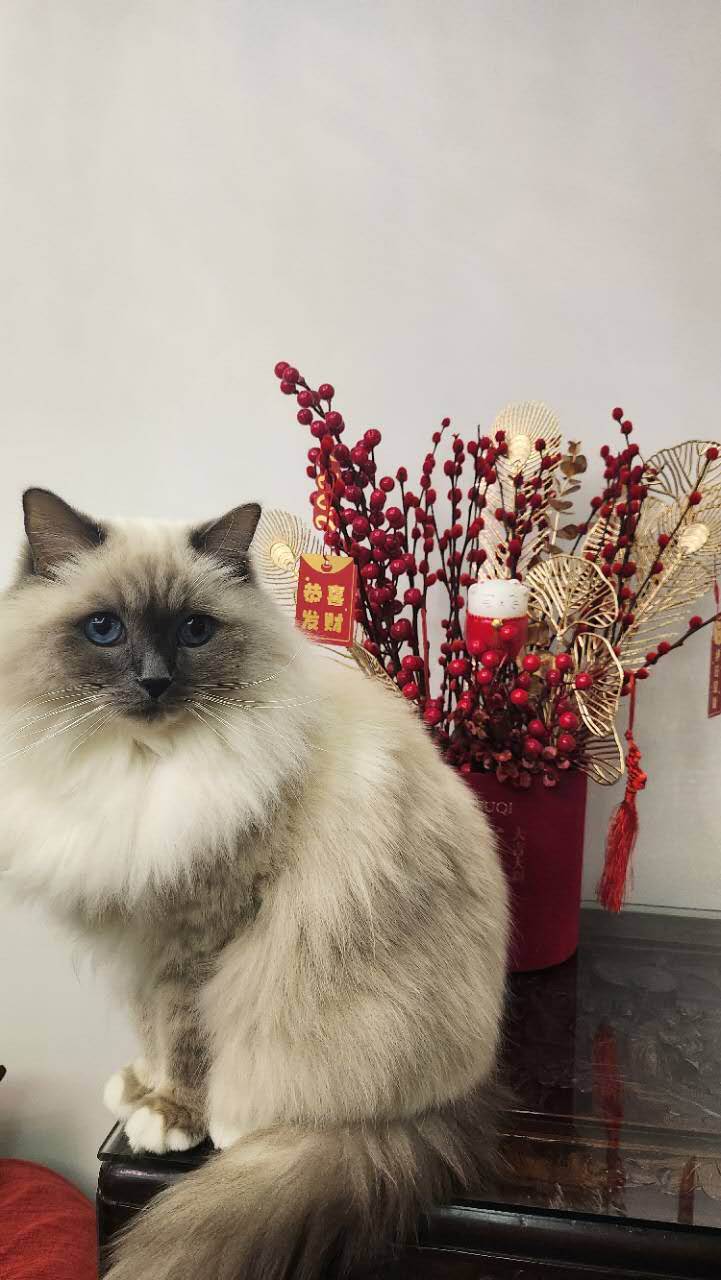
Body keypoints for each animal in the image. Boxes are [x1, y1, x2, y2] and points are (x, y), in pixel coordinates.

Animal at [0, 488, 509, 1280]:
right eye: (105, 629)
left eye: (195, 631)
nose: (155, 682)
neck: (138, 768)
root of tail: (465, 1090)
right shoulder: (142, 939)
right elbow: (151, 1032)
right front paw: (140, 1088)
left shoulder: (200, 939)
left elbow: (186, 1040)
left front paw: (170, 1117)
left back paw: (237, 1123)